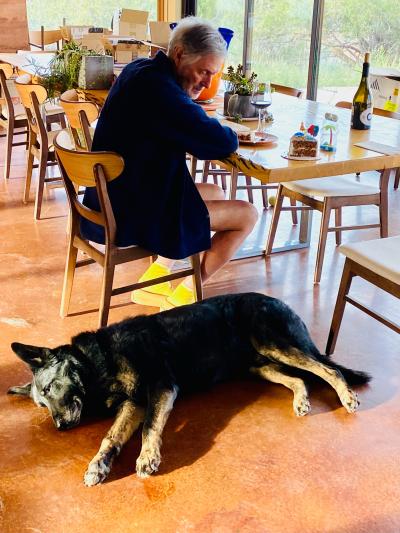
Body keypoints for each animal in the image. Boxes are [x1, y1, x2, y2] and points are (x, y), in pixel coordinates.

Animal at [7, 294, 368, 484]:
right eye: (41, 404)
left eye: (51, 387)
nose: (60, 427)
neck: (98, 360)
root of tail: (278, 300)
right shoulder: (134, 403)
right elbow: (110, 437)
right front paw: (99, 463)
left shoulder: (160, 387)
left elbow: (149, 426)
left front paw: (148, 456)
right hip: (261, 365)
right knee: (301, 378)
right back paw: (302, 400)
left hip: (275, 344)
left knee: (328, 368)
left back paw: (347, 396)